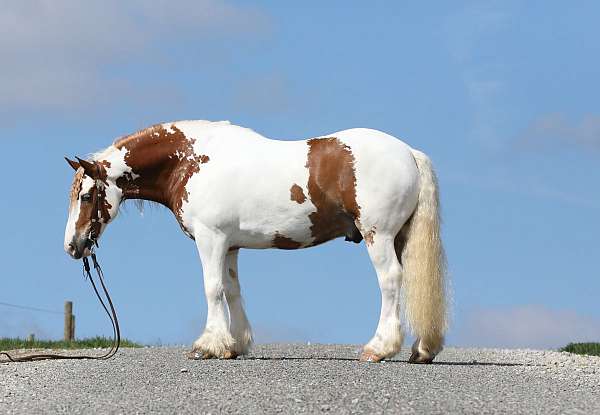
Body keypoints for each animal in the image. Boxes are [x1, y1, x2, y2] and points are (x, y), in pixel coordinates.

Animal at [62, 120, 446, 364]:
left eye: (85, 196)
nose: (73, 246)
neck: (191, 161)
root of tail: (408, 152)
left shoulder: (210, 239)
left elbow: (212, 288)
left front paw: (207, 345)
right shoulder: (229, 245)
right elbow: (232, 290)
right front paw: (235, 344)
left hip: (377, 235)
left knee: (391, 282)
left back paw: (378, 348)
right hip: (398, 237)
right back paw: (421, 349)